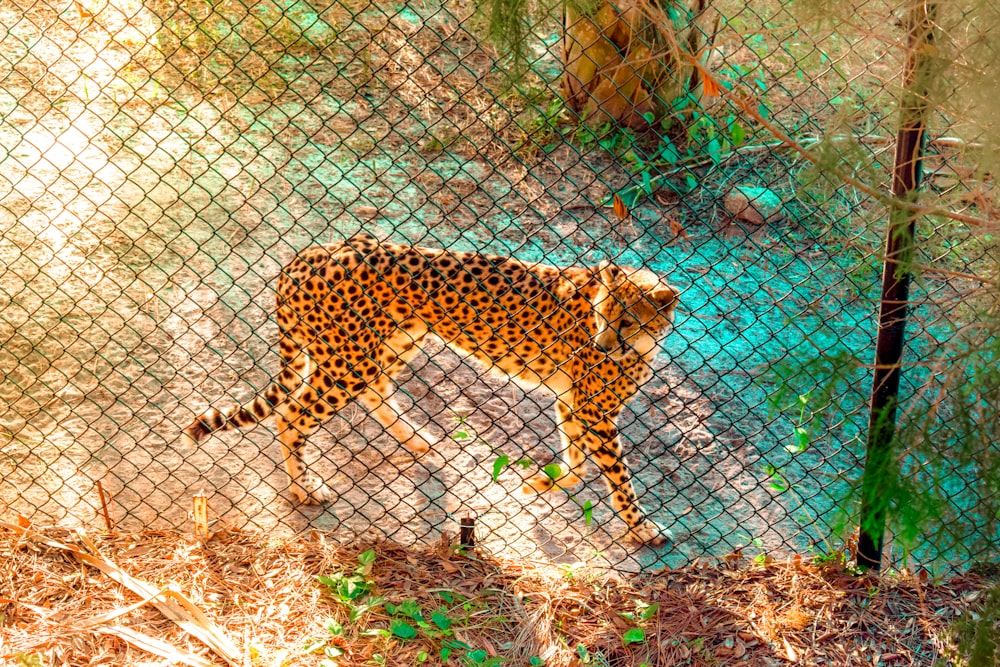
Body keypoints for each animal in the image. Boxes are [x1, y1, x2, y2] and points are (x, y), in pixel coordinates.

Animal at [182, 232, 680, 544]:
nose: (601, 344)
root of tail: (318, 250)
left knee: (375, 391)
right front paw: (642, 529)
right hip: (348, 362)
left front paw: (541, 483)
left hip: (393, 343)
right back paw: (305, 488)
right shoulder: (594, 410)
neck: (644, 342)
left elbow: (575, 459)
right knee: (292, 416)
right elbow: (619, 477)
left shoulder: (574, 403)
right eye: (601, 315)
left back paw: (419, 440)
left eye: (626, 321)